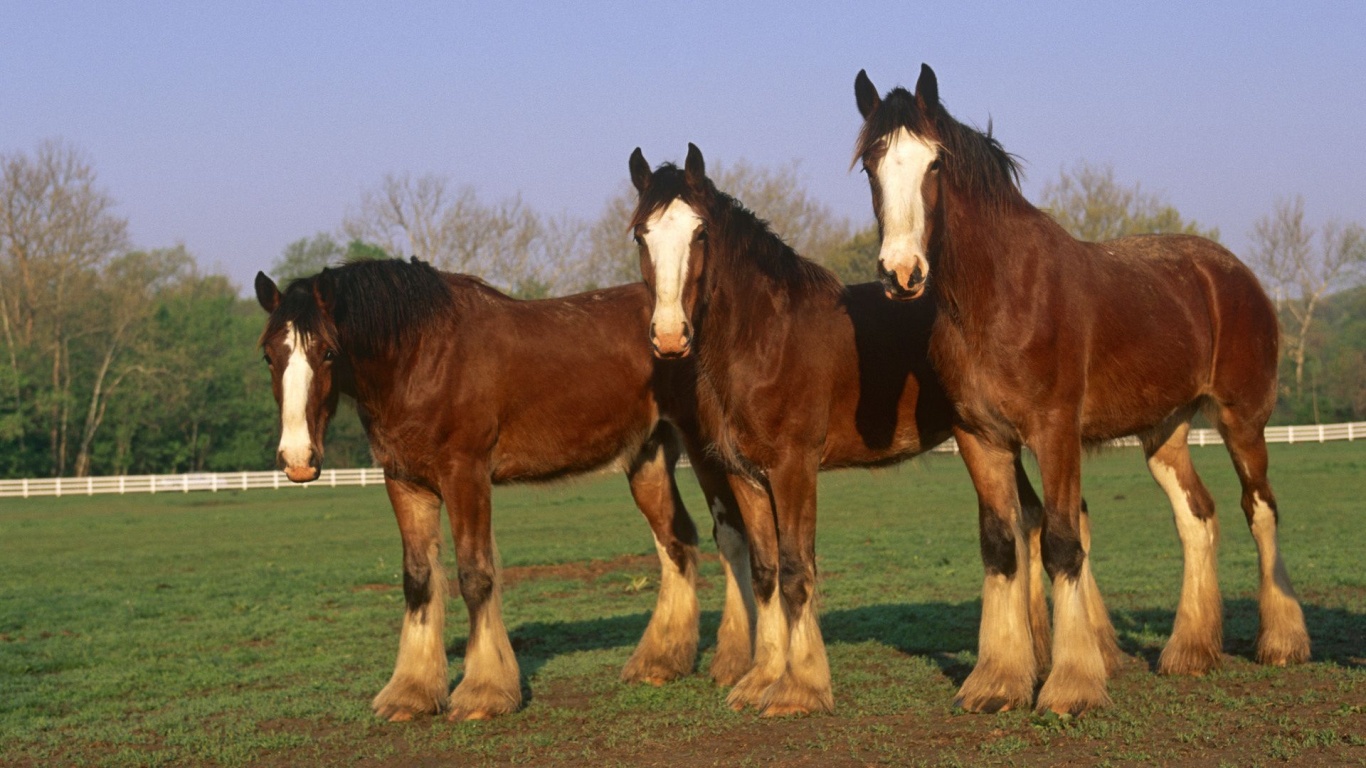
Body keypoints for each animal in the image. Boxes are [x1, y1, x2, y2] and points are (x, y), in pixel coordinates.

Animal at [251, 259, 754, 721]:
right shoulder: (405, 482)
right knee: (676, 541)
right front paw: (411, 693)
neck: (422, 356)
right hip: (649, 455)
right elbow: (418, 578)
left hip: (706, 449)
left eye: (328, 352)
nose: (298, 459)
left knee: (729, 537)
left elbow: (475, 575)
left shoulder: (465, 475)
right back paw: (660, 661)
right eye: (269, 356)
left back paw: (734, 661)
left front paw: (484, 692)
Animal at [625, 146, 1049, 716]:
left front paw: (800, 689)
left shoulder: (793, 469)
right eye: (641, 235)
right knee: (1029, 520)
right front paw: (760, 680)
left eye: (701, 233)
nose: (670, 337)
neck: (765, 338)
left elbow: (795, 569)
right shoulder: (745, 476)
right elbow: (765, 573)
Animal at [852, 64, 1311, 710]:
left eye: (935, 163)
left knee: (1260, 508)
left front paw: (1071, 685)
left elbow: (1064, 542)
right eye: (871, 165)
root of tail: (1233, 274)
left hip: (1242, 420)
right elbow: (1002, 545)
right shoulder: (980, 438)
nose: (902, 273)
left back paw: (1283, 642)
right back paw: (1190, 651)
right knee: (1196, 516)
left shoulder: (1055, 433)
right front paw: (997, 680)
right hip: (1164, 432)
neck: (1001, 295)